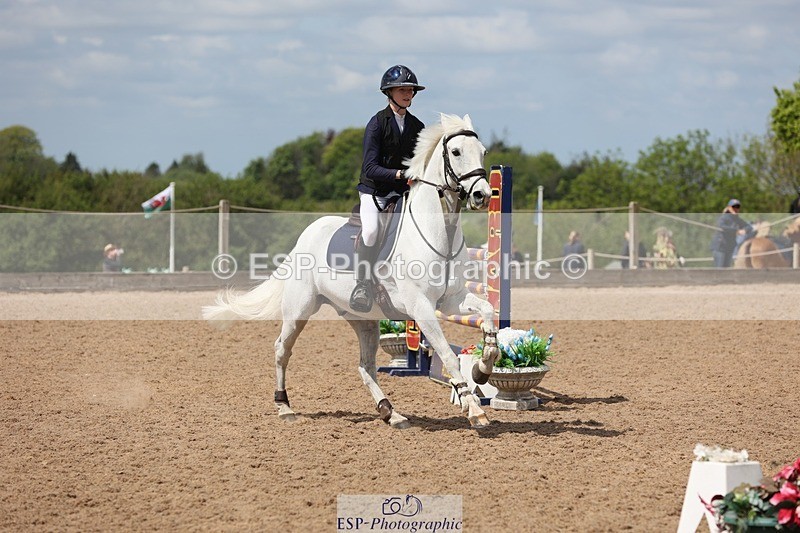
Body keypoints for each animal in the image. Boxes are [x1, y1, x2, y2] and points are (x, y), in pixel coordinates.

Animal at [203, 114, 501, 429]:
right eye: (455, 152)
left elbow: (487, 313)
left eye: (483, 152)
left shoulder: (452, 299)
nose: (482, 195)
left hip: (363, 320)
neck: (439, 231)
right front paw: (475, 410)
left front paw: (482, 369)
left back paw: (391, 413)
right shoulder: (421, 307)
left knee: (365, 365)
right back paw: (284, 407)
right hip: (299, 310)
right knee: (282, 349)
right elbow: (448, 355)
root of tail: (304, 237)